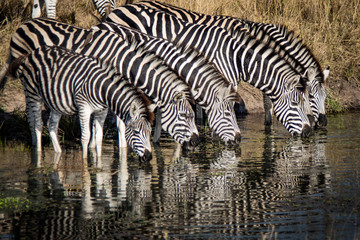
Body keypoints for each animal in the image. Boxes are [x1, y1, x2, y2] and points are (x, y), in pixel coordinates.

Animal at [7, 45, 153, 161]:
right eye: (136, 132)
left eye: (149, 132)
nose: (149, 157)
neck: (102, 90)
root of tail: (33, 52)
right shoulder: (84, 108)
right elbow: (85, 137)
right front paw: (85, 164)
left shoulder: (102, 111)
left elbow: (99, 137)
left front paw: (98, 163)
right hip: (32, 93)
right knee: (37, 123)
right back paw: (37, 156)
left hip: (56, 100)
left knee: (51, 125)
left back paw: (58, 153)